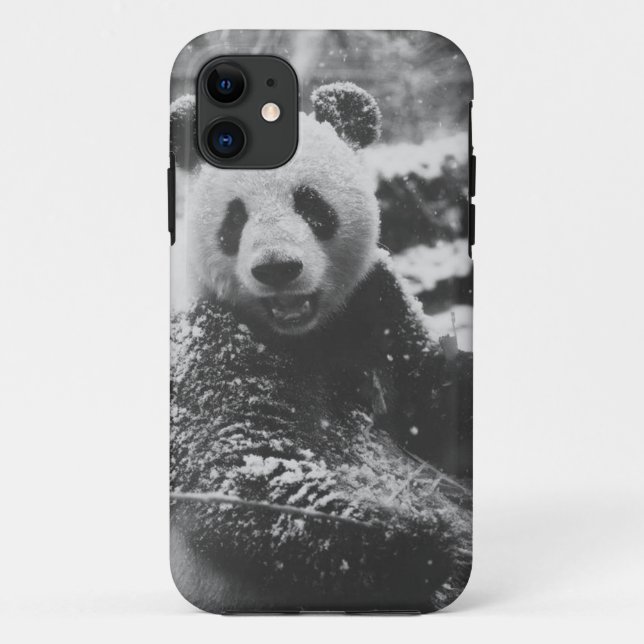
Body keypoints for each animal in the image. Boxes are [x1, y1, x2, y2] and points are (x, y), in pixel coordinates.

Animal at [170, 83, 472, 612]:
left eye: (311, 204)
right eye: (235, 217)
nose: (277, 268)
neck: (307, 334)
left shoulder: (374, 310)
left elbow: (435, 394)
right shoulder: (218, 352)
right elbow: (245, 464)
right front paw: (417, 547)